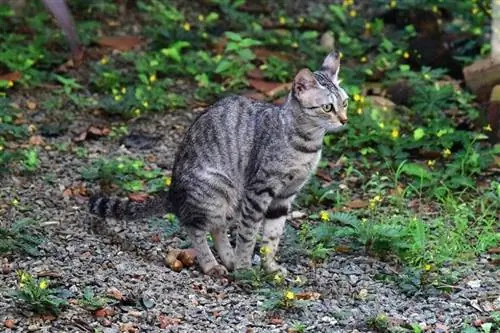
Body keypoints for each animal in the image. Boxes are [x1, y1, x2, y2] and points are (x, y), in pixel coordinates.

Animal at [89, 51, 348, 274]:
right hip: (217, 190)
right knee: (195, 227)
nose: (345, 120)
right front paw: (245, 268)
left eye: (344, 103)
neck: (306, 145)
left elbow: (272, 237)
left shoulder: (284, 196)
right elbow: (248, 235)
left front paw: (269, 268)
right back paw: (212, 265)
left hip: (231, 199)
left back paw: (228, 259)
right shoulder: (259, 191)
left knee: (218, 228)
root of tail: (172, 192)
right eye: (327, 107)